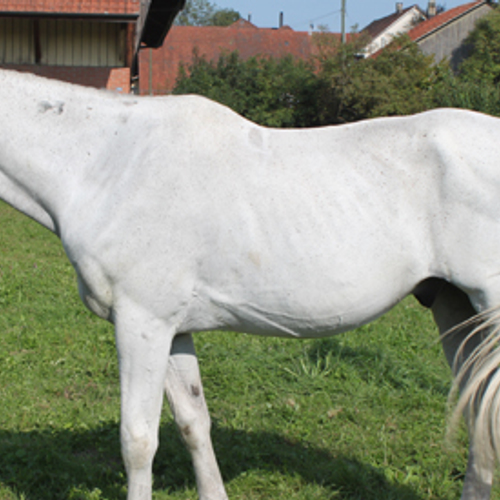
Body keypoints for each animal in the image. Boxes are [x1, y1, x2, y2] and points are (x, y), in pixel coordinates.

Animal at [0, 67, 500, 500]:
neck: (108, 163)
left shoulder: (142, 322)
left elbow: (138, 441)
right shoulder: (173, 329)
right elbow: (193, 423)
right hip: (454, 309)